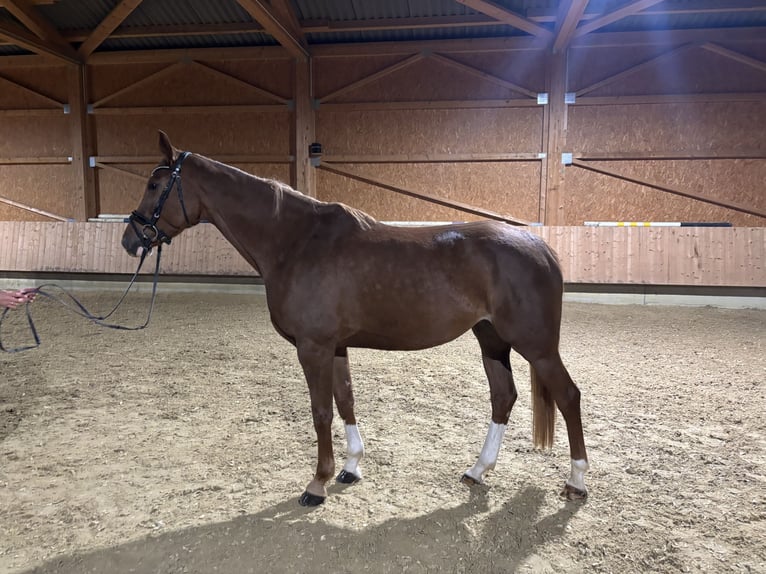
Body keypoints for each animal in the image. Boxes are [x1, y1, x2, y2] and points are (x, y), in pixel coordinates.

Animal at [122, 131, 589, 506]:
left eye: (155, 184)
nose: (131, 239)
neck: (295, 240)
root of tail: (541, 247)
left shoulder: (313, 347)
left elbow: (321, 412)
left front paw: (317, 484)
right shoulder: (336, 346)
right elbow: (345, 400)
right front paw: (351, 467)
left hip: (536, 347)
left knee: (568, 396)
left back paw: (577, 481)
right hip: (491, 339)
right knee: (503, 396)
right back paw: (478, 470)